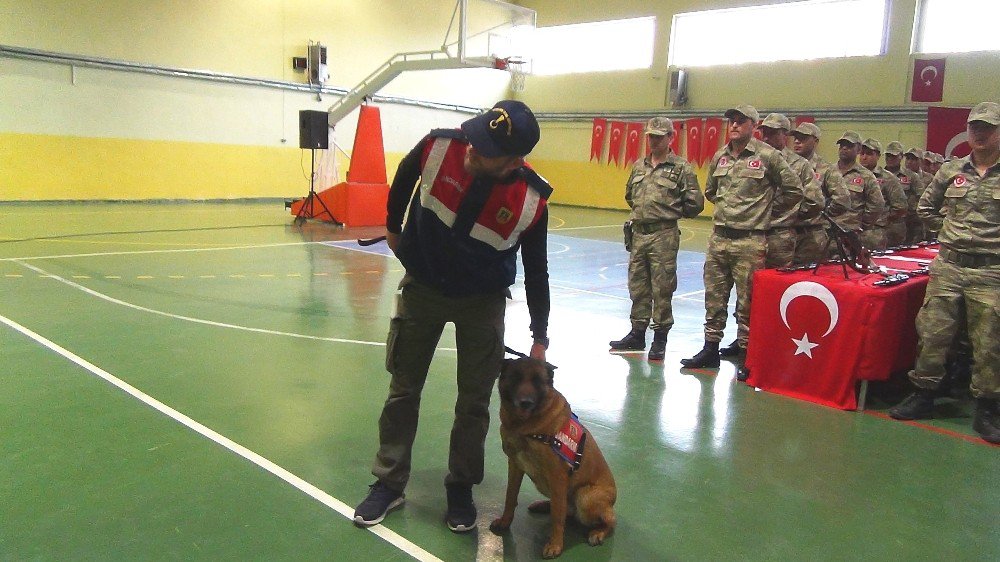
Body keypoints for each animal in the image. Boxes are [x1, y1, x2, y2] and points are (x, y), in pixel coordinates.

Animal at [492, 356, 616, 556]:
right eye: (515, 377)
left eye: (537, 381)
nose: (525, 402)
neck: (526, 428)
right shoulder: (515, 465)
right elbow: (510, 497)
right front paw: (505, 522)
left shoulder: (558, 477)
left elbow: (557, 516)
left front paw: (555, 545)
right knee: (566, 510)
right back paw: (543, 505)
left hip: (585, 497)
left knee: (609, 521)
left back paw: (598, 532)